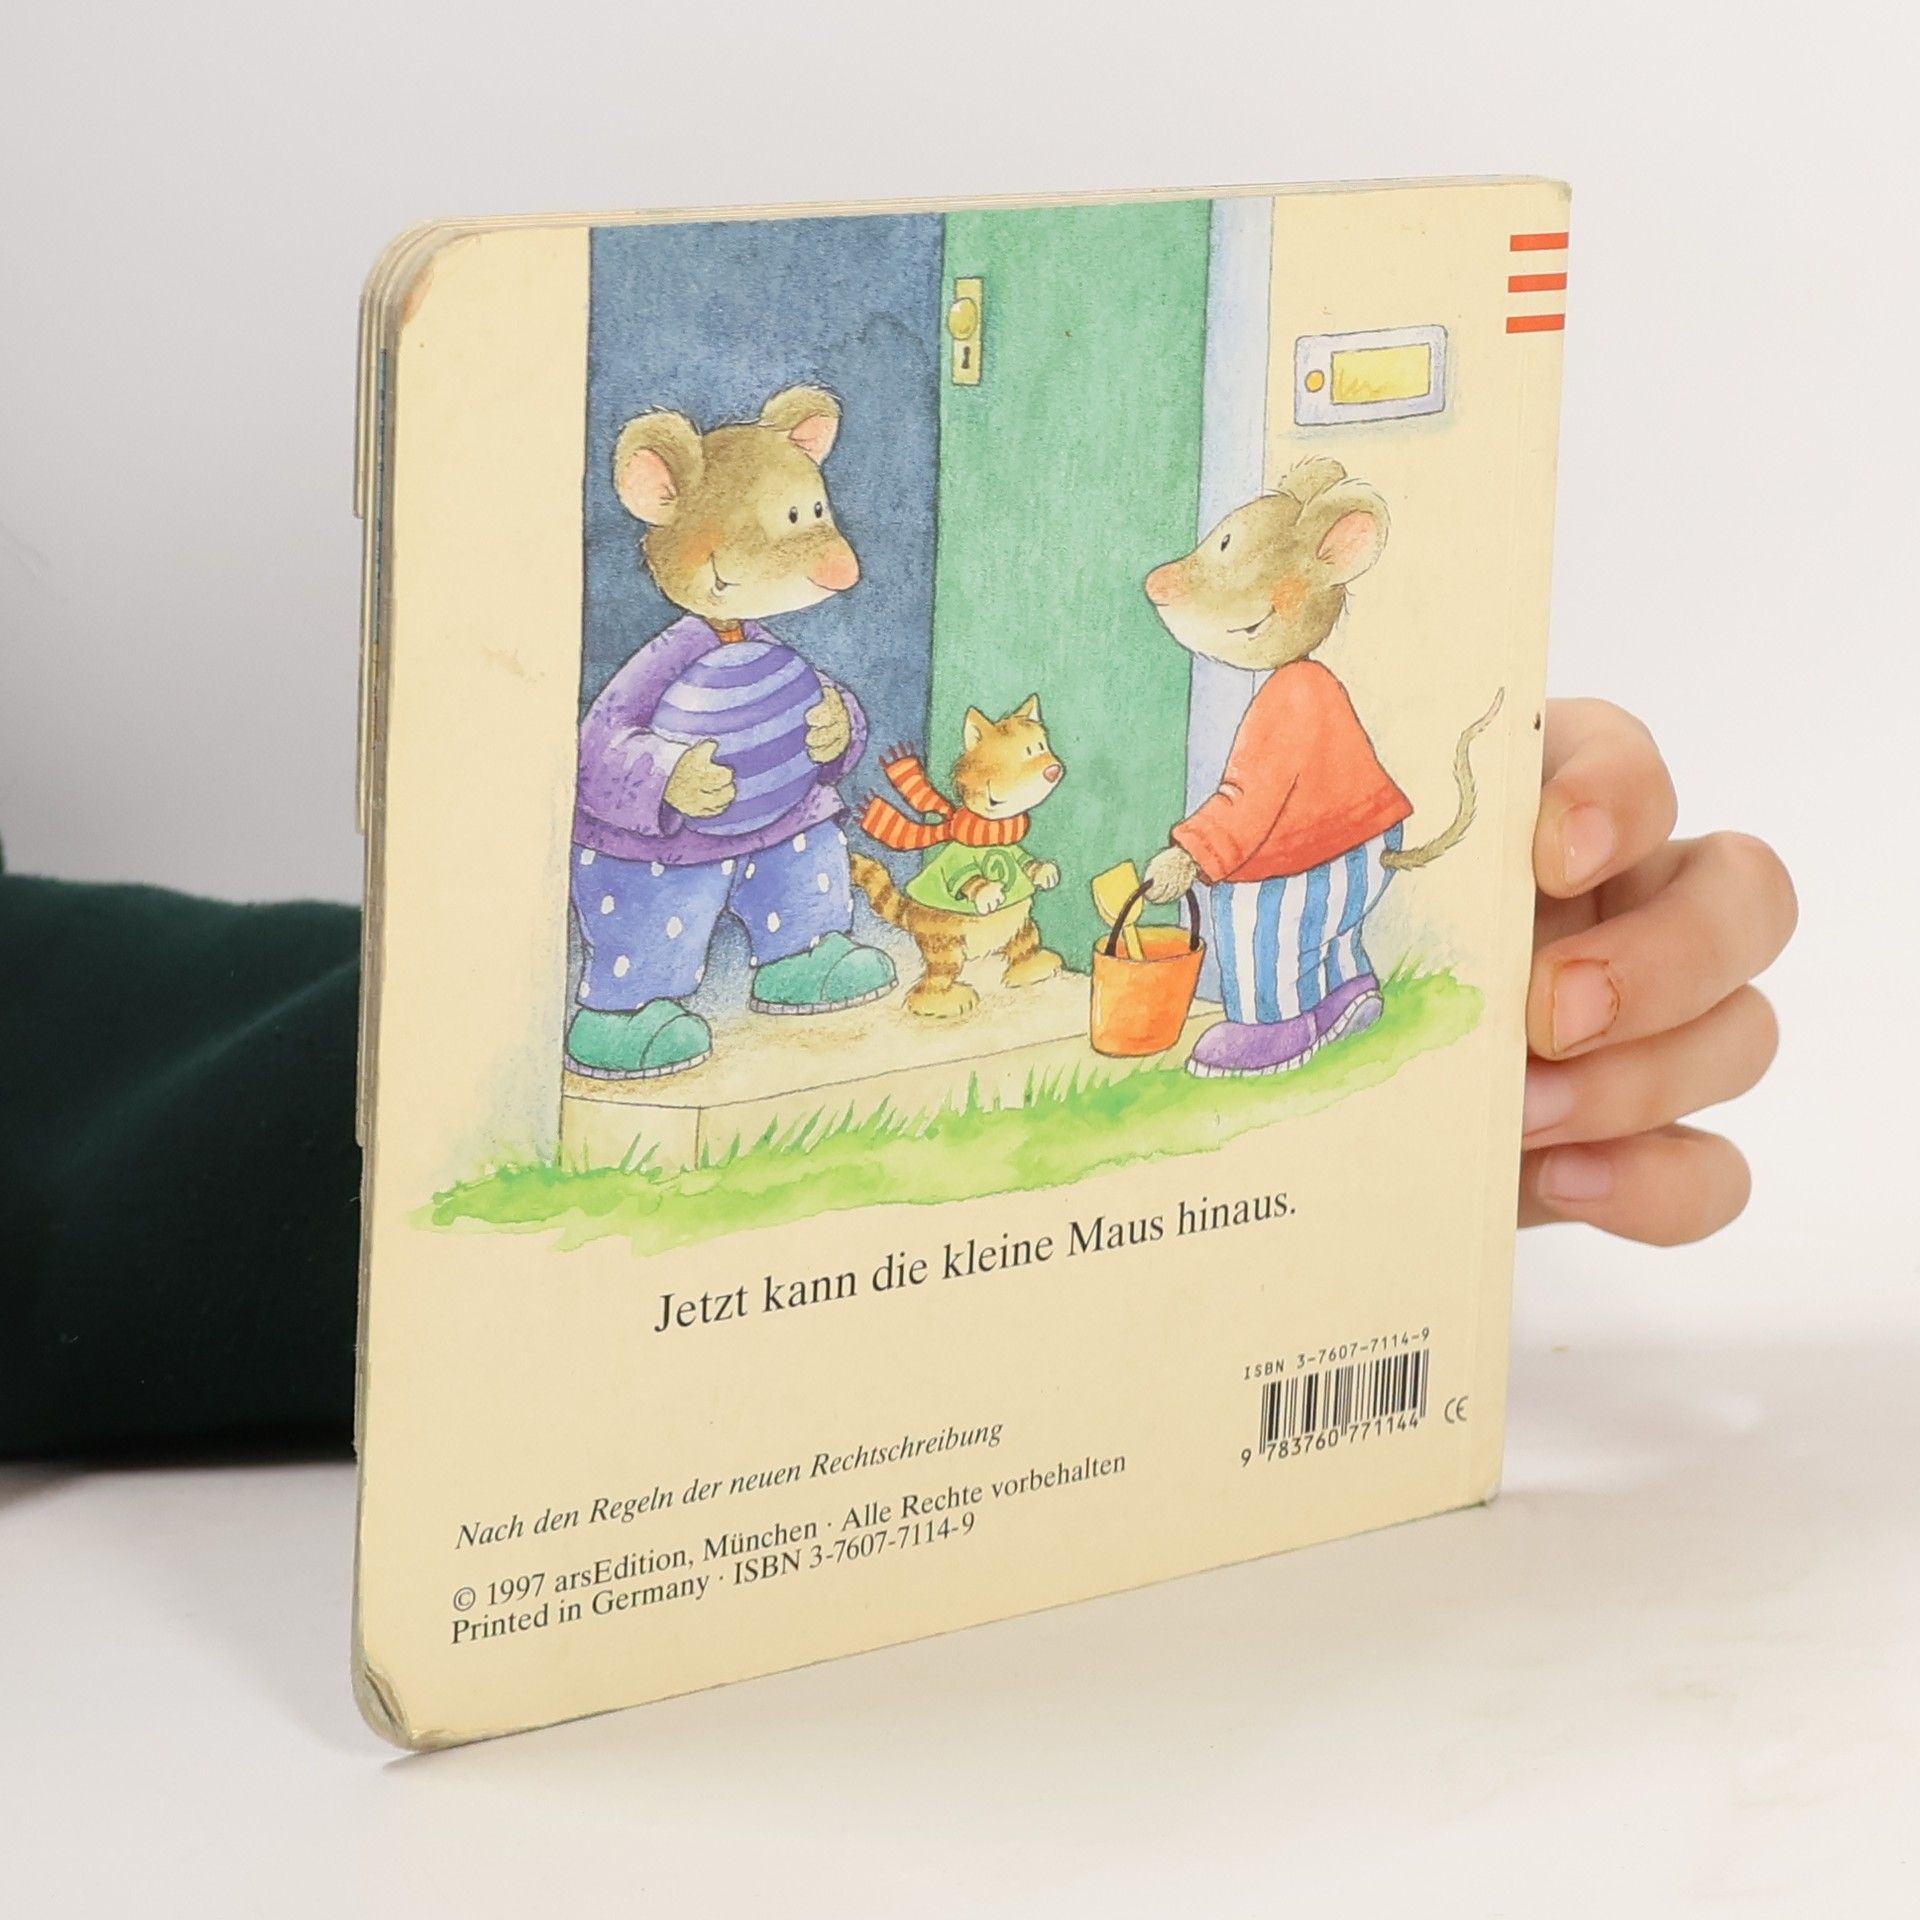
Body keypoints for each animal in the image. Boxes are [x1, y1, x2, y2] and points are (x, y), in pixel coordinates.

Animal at [851, 696, 1068, 1018]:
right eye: (1026, 752)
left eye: (1042, 746)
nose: (1054, 770)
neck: (991, 830)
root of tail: (912, 912)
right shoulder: (958, 863)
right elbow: (965, 878)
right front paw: (987, 892)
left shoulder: (1015, 851)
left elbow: (1026, 863)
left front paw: (1044, 871)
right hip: (945, 942)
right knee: (939, 974)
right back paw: (943, 1001)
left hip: (1020, 925)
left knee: (1024, 942)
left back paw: (1034, 967)